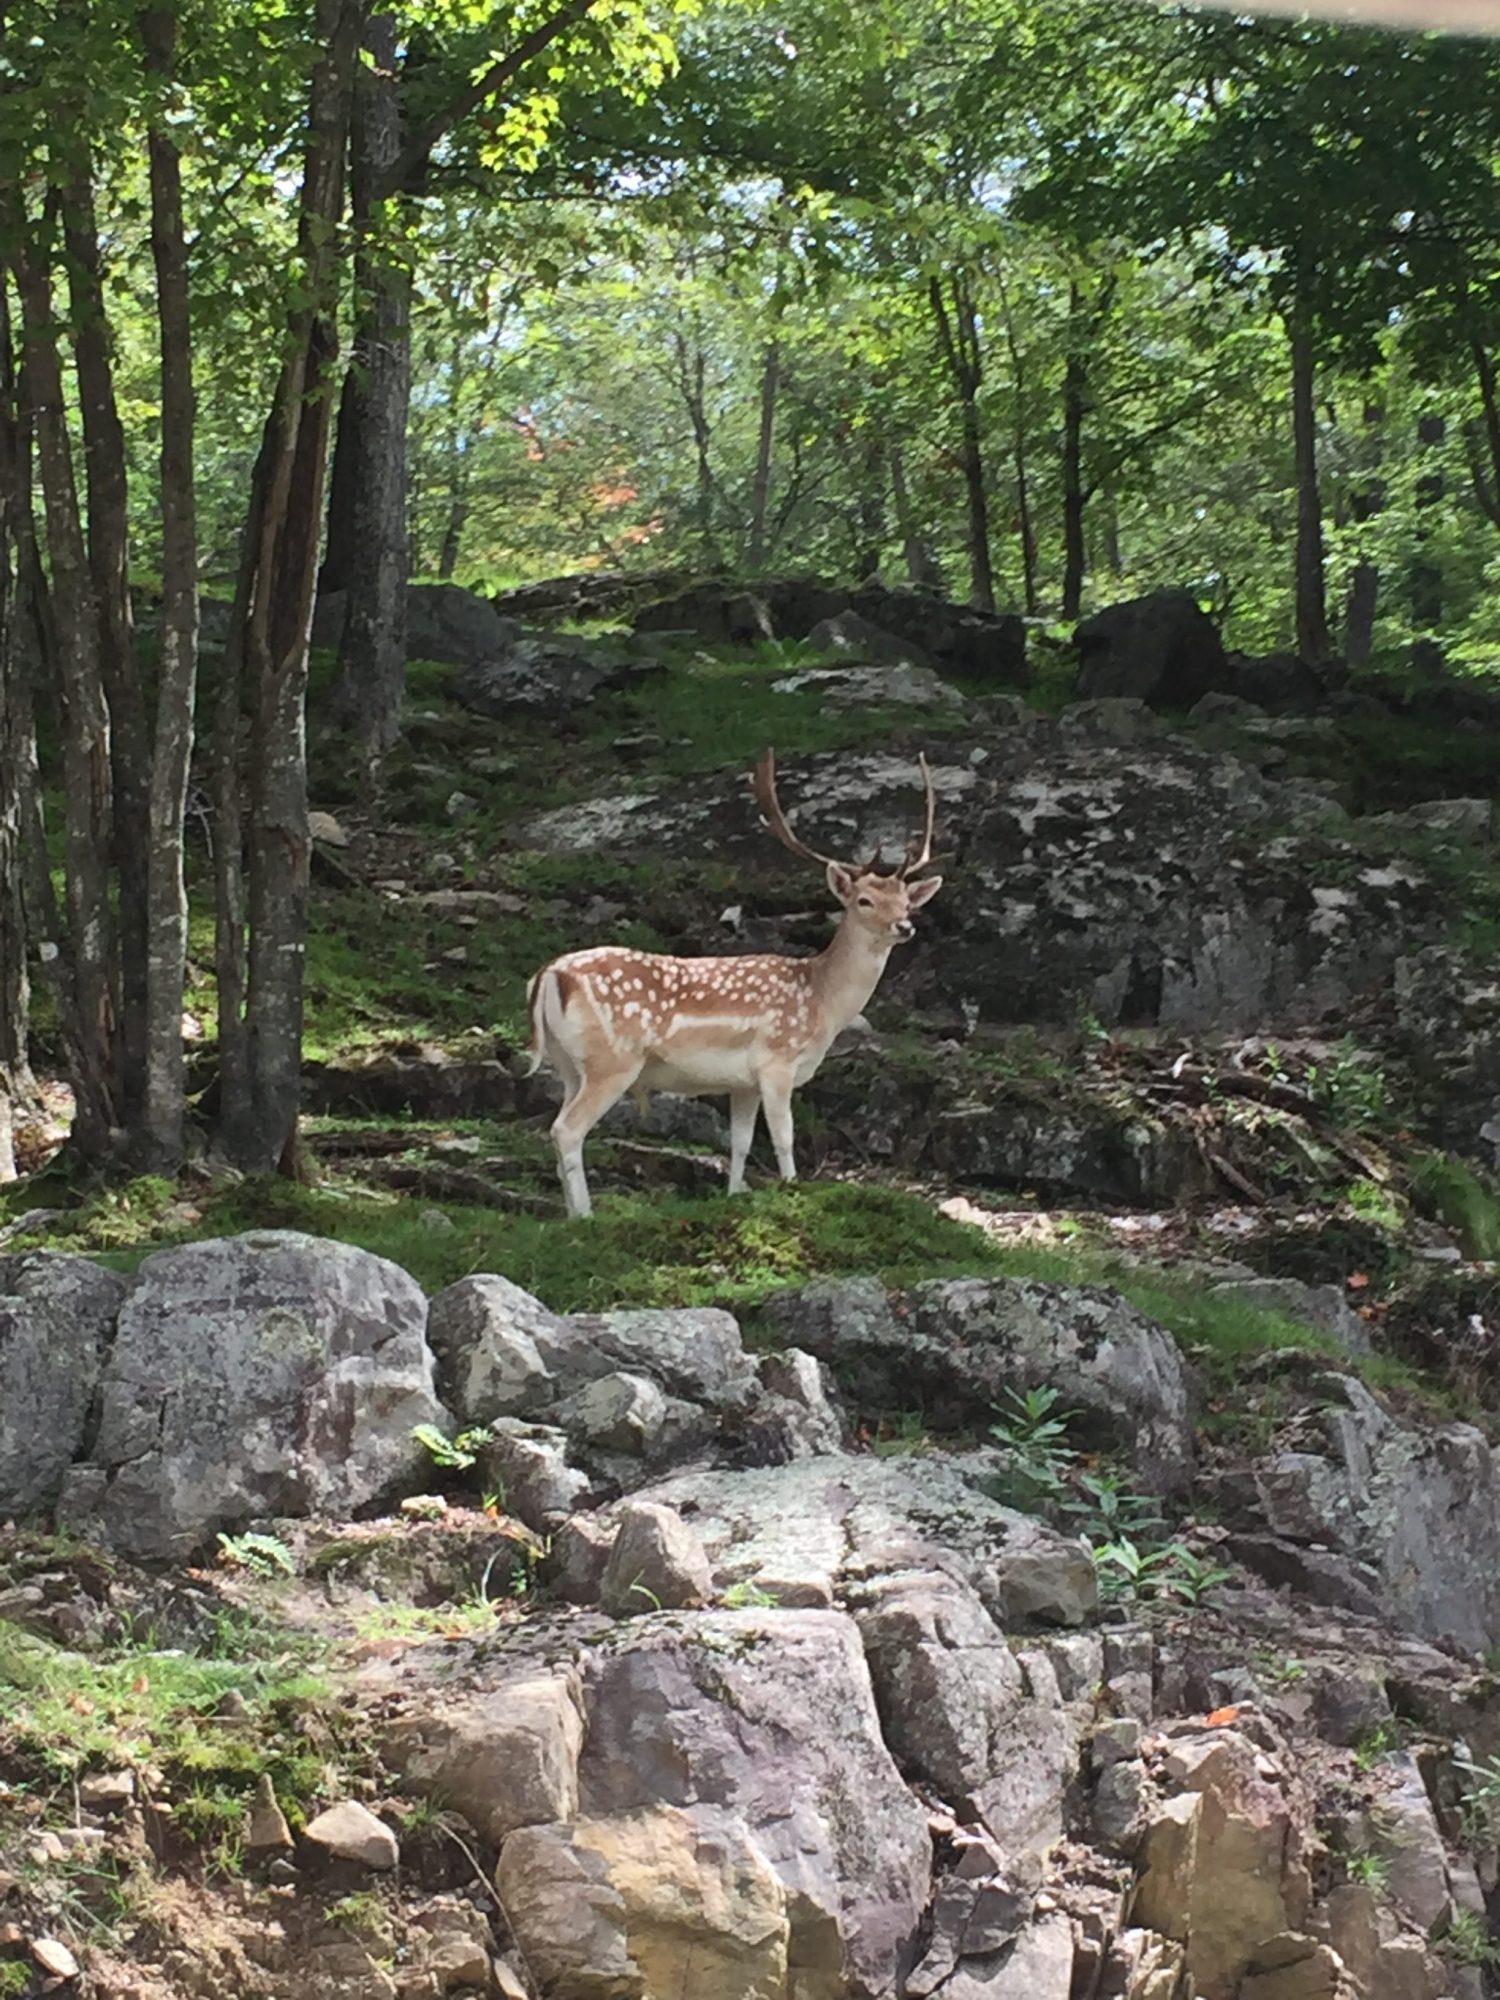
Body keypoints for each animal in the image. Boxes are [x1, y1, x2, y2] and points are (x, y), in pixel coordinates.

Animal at [524, 752, 940, 1216]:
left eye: (906, 902)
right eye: (864, 900)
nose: (904, 926)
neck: (821, 1002)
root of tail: (550, 976)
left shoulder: (743, 1083)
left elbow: (740, 1143)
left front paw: (736, 1195)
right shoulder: (777, 1060)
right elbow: (783, 1138)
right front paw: (792, 1193)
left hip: (567, 1063)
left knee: (558, 1125)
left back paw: (569, 1213)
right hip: (612, 1060)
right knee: (567, 1129)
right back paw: (585, 1215)